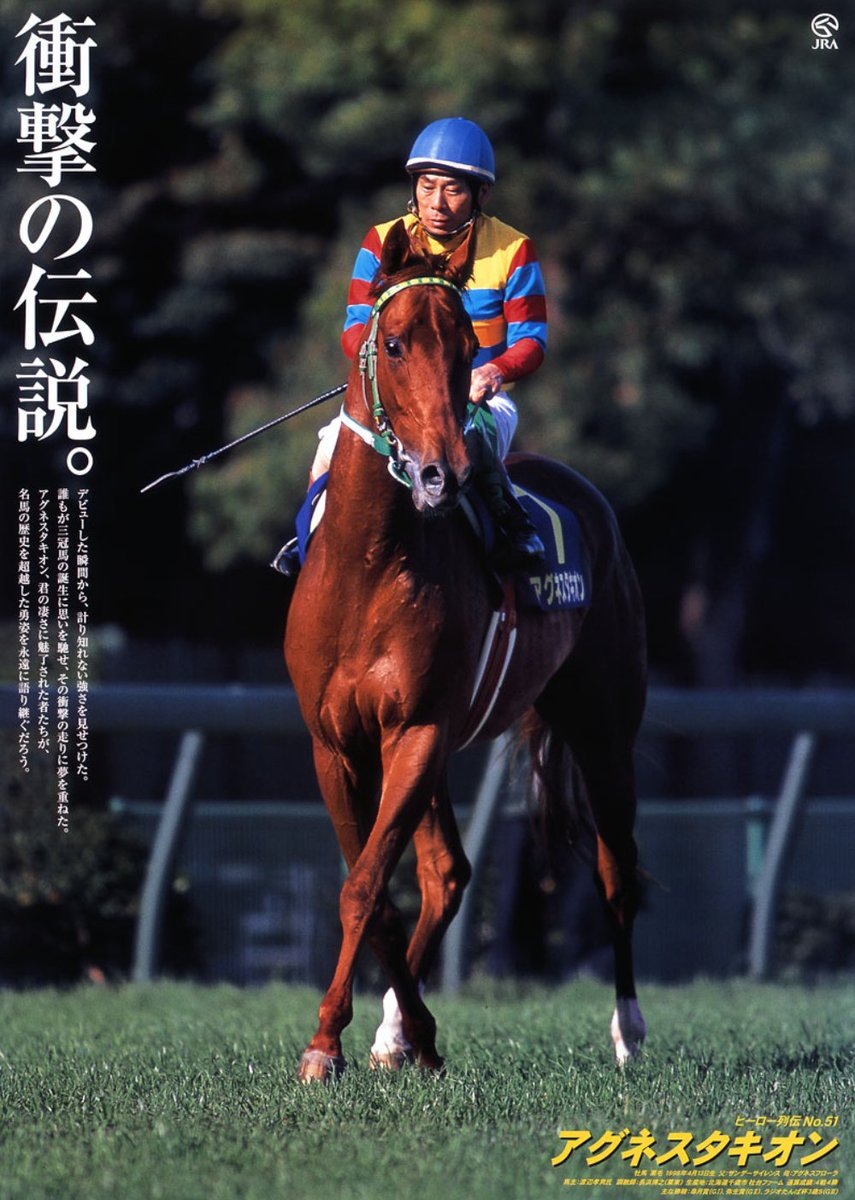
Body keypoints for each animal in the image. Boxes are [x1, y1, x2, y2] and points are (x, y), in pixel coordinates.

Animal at [284, 219, 648, 1082]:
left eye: (463, 349)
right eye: (392, 342)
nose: (440, 473)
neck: (368, 563)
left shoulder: (415, 730)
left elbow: (364, 885)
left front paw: (328, 1043)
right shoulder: (336, 742)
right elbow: (377, 887)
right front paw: (394, 1034)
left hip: (603, 727)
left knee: (616, 871)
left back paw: (627, 1030)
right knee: (446, 871)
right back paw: (396, 1031)